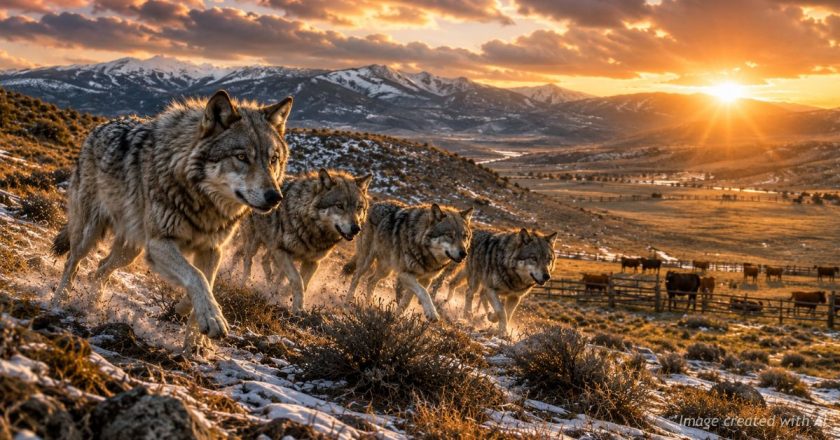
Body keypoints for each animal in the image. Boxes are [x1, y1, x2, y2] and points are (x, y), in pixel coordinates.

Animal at [51, 90, 293, 351]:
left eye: (273, 159)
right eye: (241, 157)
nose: (275, 197)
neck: (203, 202)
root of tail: (98, 128)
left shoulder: (212, 249)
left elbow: (205, 282)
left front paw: (194, 340)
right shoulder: (160, 243)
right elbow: (196, 277)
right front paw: (212, 318)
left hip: (130, 251)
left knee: (101, 268)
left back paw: (92, 304)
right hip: (90, 234)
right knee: (72, 262)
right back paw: (59, 301)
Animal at [235, 168, 372, 311]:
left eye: (359, 207)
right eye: (339, 206)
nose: (356, 228)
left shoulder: (313, 261)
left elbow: (304, 283)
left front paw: (286, 296)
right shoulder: (282, 251)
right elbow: (297, 280)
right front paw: (297, 309)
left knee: (266, 263)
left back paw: (270, 287)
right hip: (254, 242)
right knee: (248, 260)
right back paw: (246, 283)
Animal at [343, 201, 473, 321]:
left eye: (464, 236)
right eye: (449, 235)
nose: (464, 253)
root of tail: (374, 205)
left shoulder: (426, 279)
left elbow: (407, 301)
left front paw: (395, 319)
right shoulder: (405, 274)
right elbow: (424, 293)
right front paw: (432, 313)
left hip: (386, 270)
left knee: (371, 280)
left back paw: (368, 305)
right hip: (367, 261)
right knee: (356, 277)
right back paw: (347, 303)